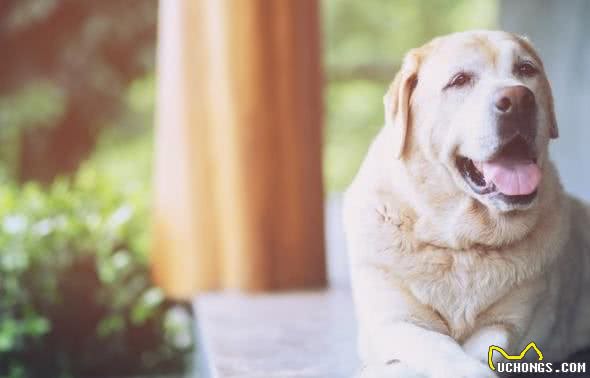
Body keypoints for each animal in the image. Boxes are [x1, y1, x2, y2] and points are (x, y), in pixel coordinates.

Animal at [342, 30, 590, 378]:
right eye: (459, 80)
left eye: (526, 70)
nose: (519, 99)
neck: (461, 246)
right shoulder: (392, 321)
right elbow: (435, 345)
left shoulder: (510, 322)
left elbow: (480, 353)